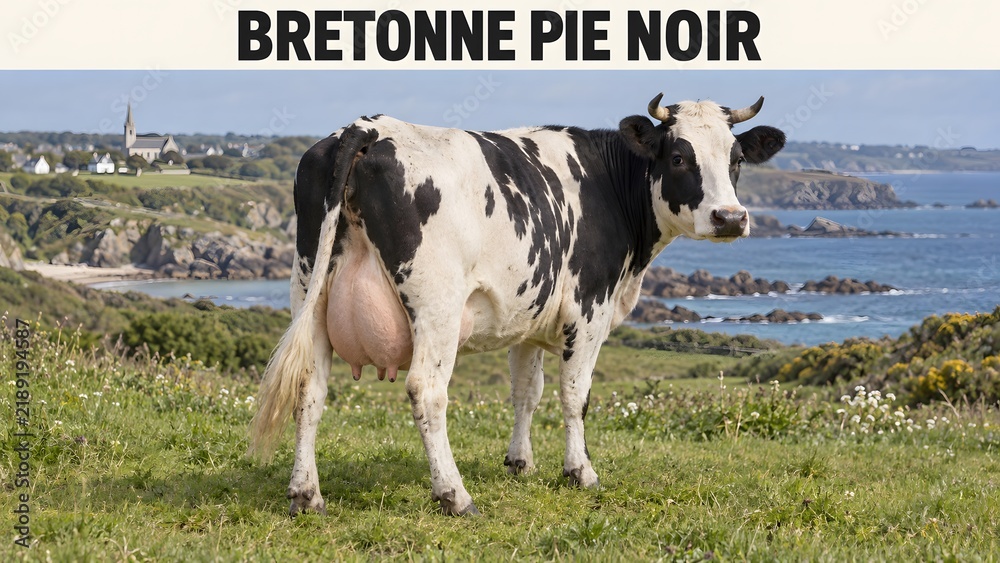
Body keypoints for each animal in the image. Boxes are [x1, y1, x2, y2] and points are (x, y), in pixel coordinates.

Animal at [249, 93, 786, 516]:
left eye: (736, 157)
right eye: (677, 157)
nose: (730, 217)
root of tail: (368, 127)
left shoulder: (527, 317)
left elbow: (527, 392)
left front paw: (520, 463)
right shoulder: (588, 309)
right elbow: (574, 395)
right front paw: (580, 471)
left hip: (309, 288)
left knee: (309, 388)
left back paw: (306, 494)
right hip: (435, 304)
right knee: (426, 391)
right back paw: (454, 495)